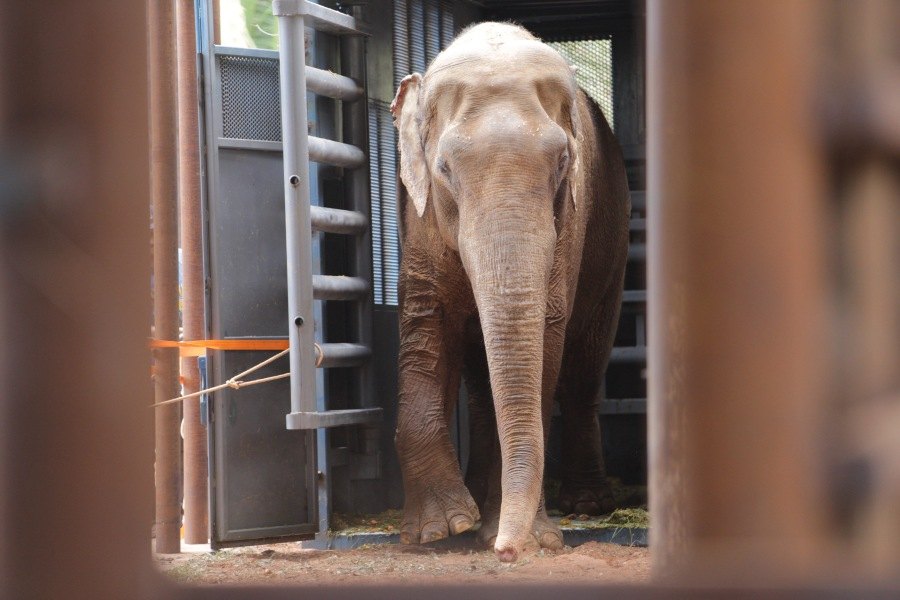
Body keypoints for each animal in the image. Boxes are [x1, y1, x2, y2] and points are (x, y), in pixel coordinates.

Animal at [390, 22, 630, 562]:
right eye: (443, 168)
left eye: (563, 161)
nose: (507, 552)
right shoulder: (417, 214)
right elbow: (426, 325)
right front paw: (439, 530)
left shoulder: (571, 220)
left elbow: (549, 333)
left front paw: (526, 536)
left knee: (584, 367)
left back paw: (586, 504)